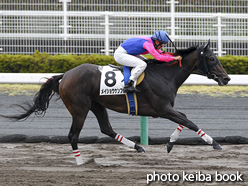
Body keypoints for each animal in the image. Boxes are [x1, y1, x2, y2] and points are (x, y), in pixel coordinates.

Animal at [1, 40, 231, 164]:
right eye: (212, 58)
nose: (227, 78)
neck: (165, 75)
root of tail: (65, 75)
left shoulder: (165, 109)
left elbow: (184, 120)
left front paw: (170, 144)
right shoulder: (162, 109)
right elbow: (189, 121)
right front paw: (215, 143)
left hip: (97, 105)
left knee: (106, 129)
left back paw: (138, 147)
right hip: (79, 109)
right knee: (73, 135)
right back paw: (80, 162)